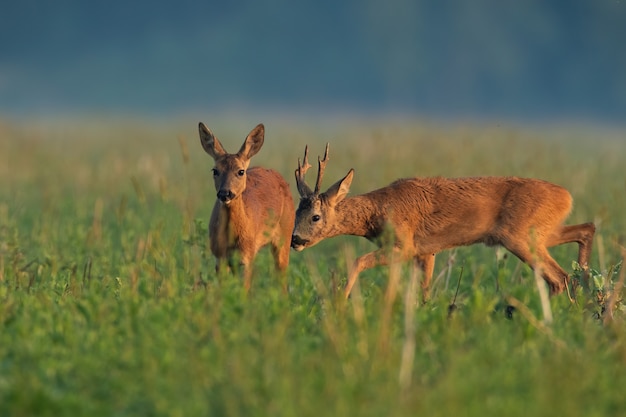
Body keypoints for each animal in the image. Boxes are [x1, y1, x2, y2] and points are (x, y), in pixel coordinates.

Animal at [200, 121, 298, 290]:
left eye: (241, 171)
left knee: (282, 278)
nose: (225, 193)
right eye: (215, 170)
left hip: (285, 235)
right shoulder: (219, 257)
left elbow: (244, 290)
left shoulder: (246, 256)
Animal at [290, 144, 592, 300]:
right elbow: (423, 288)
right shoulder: (426, 251)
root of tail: (566, 197)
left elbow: (358, 261)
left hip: (520, 235)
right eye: (295, 214)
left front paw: (340, 302)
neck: (379, 211)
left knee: (559, 277)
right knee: (585, 230)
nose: (295, 240)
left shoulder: (406, 244)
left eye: (316, 216)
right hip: (542, 232)